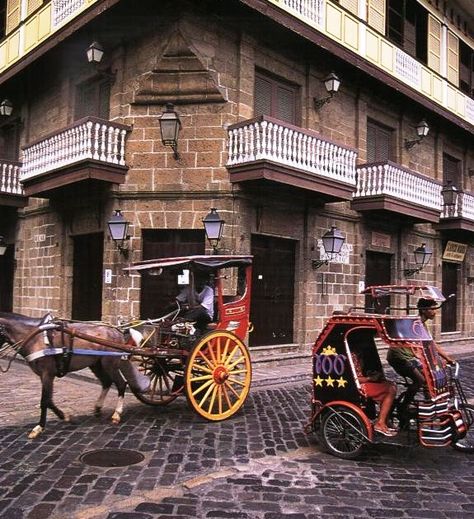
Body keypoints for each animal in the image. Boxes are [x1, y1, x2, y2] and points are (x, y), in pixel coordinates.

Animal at [0, 312, 148, 438]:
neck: (34, 336)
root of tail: (117, 331)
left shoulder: (47, 374)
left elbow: (44, 401)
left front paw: (39, 428)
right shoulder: (45, 376)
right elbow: (49, 400)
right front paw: (65, 417)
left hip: (109, 364)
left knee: (121, 384)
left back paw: (116, 414)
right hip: (96, 364)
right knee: (106, 382)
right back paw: (98, 408)